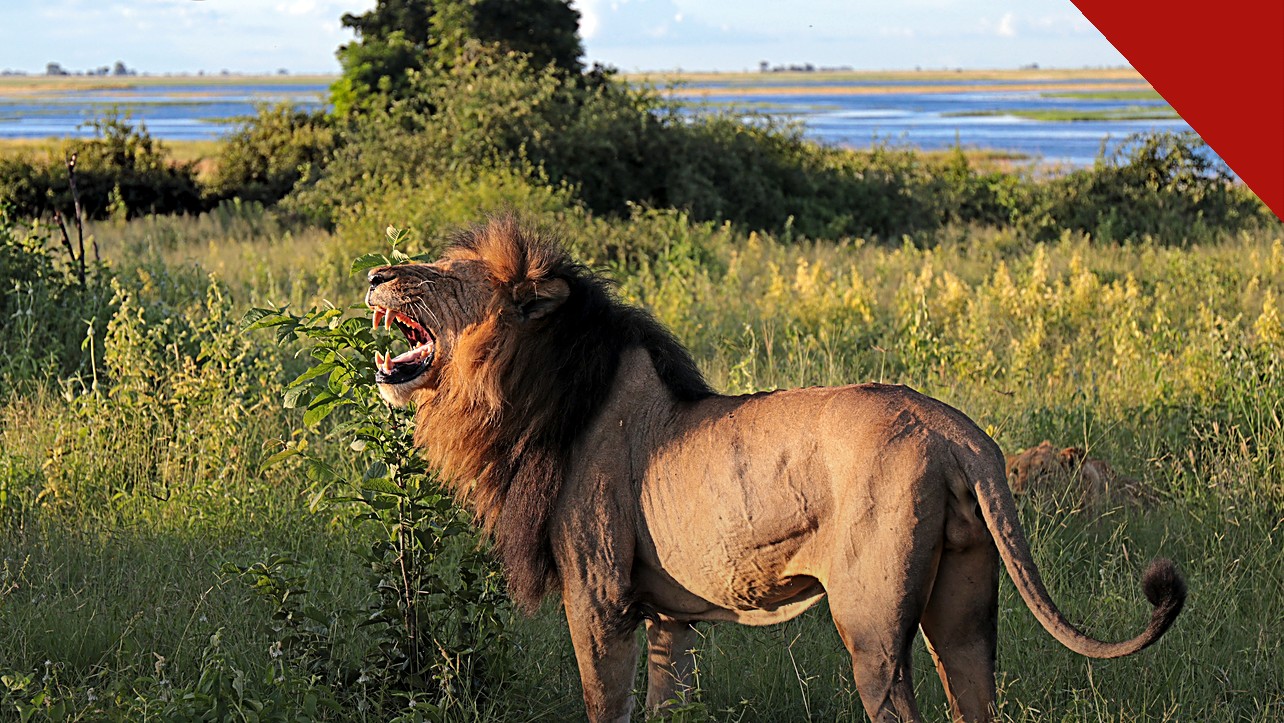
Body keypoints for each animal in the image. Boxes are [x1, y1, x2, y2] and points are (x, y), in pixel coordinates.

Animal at [364, 217, 1185, 723]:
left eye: (448, 275)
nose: (374, 274)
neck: (532, 393)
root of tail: (959, 431)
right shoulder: (669, 615)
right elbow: (667, 704)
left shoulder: (599, 599)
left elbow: (607, 706)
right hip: (963, 607)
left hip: (872, 622)